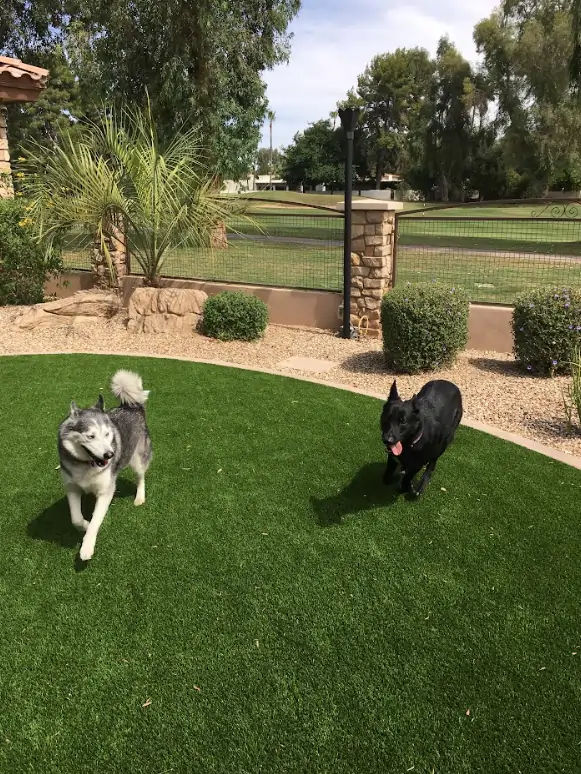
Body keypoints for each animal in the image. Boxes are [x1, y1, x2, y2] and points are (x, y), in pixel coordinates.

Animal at [56, 372, 151, 560]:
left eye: (107, 434)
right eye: (90, 436)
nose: (110, 455)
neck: (86, 465)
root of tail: (131, 406)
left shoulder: (105, 491)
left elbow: (95, 521)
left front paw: (87, 547)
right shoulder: (71, 487)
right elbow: (76, 519)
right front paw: (84, 525)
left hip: (137, 459)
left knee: (141, 476)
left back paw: (139, 497)